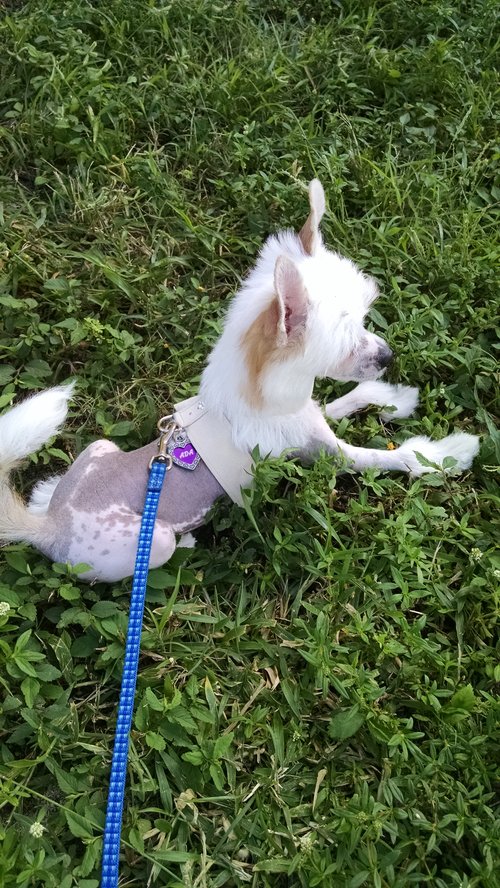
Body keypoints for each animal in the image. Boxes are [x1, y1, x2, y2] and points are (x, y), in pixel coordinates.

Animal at [0, 180, 478, 584]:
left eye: (365, 322)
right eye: (345, 345)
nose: (386, 356)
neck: (264, 400)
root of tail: (51, 528)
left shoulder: (307, 416)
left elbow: (345, 401)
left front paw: (391, 395)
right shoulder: (327, 455)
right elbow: (394, 458)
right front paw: (446, 454)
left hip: (100, 448)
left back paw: (45, 492)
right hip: (154, 541)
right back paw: (188, 539)